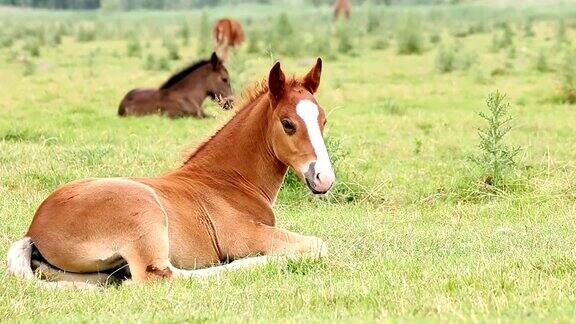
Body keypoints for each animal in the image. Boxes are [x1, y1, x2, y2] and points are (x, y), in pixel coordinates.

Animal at [6, 58, 336, 288]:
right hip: (143, 213)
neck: (227, 181)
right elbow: (318, 245)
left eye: (323, 120)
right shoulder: (245, 236)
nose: (324, 179)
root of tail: (34, 229)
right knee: (160, 276)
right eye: (288, 123)